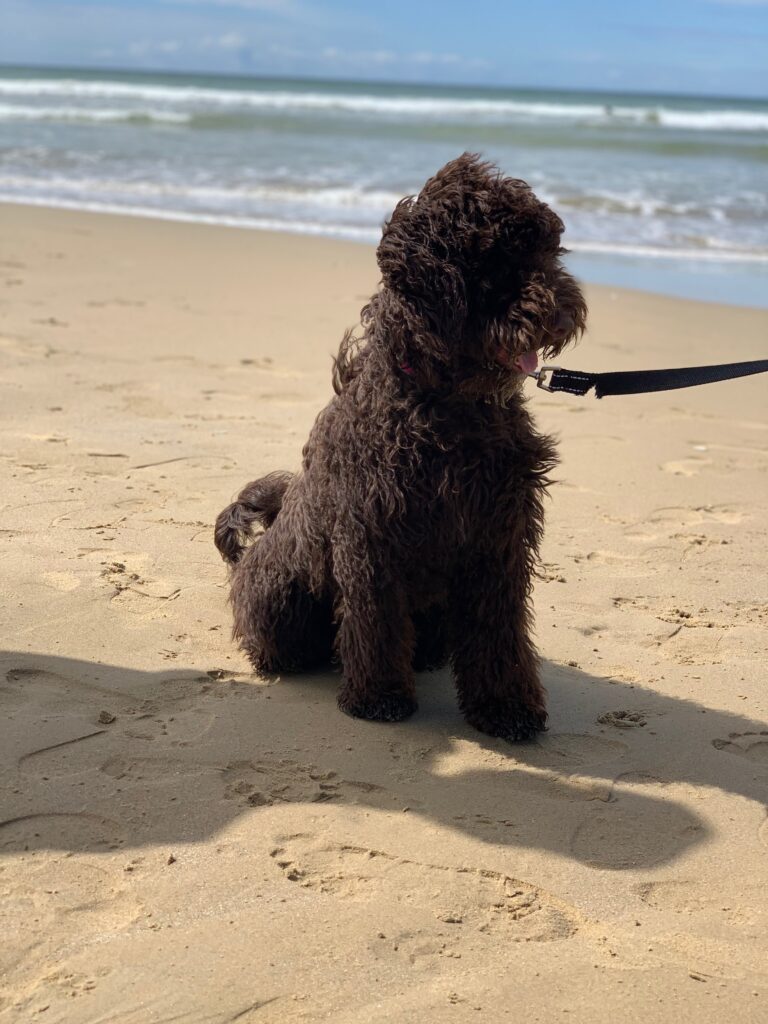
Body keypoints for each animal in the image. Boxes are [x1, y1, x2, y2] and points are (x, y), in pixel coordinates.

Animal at [214, 151, 585, 741]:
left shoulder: (497, 539)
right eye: (496, 261)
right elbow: (375, 623)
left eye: (547, 252)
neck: (449, 406)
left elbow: (498, 633)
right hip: (282, 592)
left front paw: (505, 706)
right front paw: (378, 697)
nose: (563, 313)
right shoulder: (371, 537)